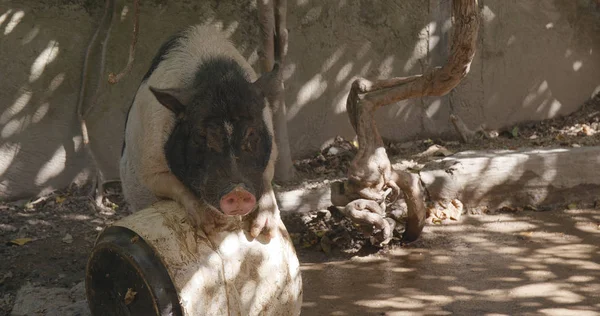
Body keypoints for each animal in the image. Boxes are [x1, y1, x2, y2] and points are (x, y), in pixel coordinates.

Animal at [120, 24, 282, 239]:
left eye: (251, 133)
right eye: (201, 135)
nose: (238, 191)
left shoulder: (272, 152)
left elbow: (265, 178)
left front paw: (262, 232)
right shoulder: (148, 166)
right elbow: (171, 183)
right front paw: (210, 227)